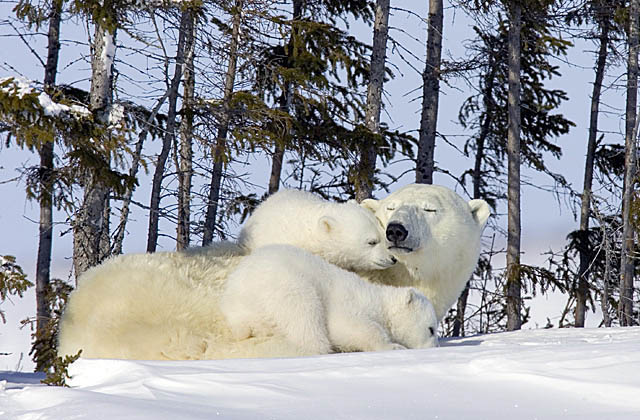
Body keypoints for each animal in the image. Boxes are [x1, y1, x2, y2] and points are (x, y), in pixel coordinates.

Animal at [221, 244, 440, 352]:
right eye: (431, 329)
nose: (435, 347)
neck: (377, 301)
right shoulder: (350, 302)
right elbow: (348, 325)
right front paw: (393, 346)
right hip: (283, 285)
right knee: (304, 314)